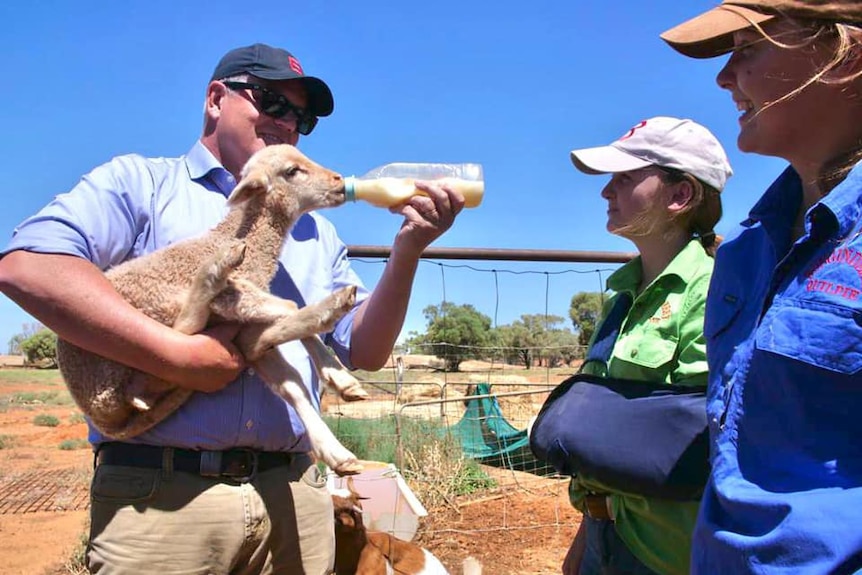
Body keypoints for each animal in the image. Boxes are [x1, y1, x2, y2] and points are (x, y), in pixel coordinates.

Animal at [57, 145, 368, 476]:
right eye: (292, 171)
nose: (338, 181)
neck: (246, 242)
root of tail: (96, 411)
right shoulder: (235, 298)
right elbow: (289, 305)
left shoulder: (248, 321)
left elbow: (291, 383)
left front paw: (339, 392)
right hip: (140, 325)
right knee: (180, 334)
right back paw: (214, 271)